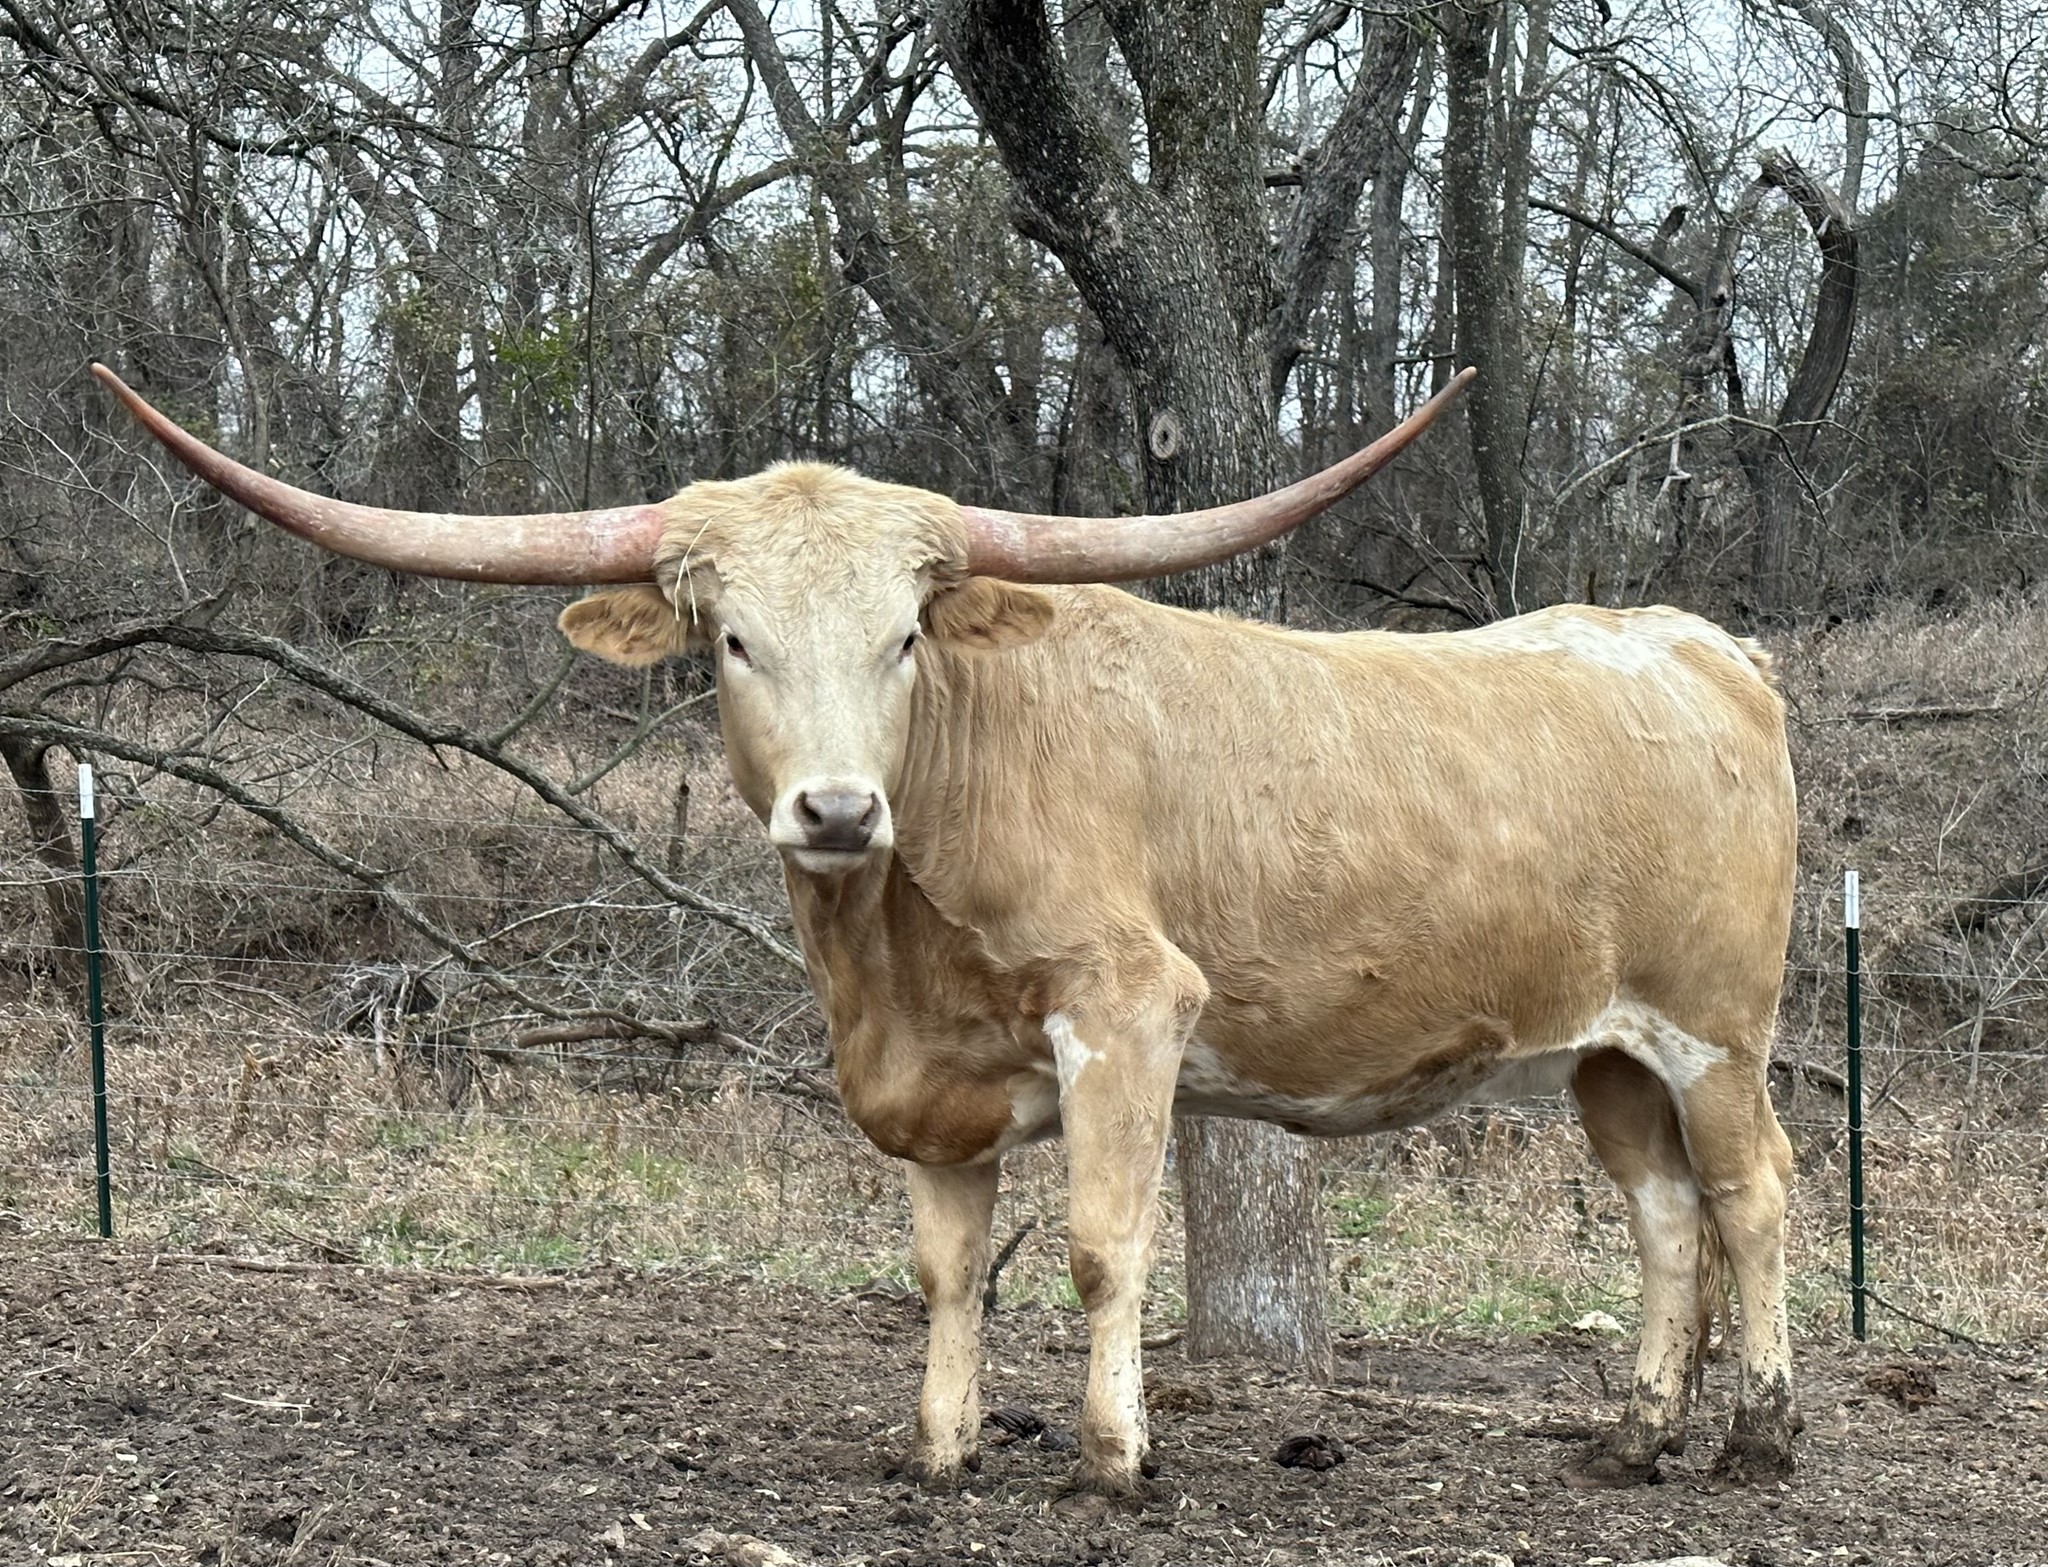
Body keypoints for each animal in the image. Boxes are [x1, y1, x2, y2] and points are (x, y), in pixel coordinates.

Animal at [93, 361, 1799, 1496]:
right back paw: (1639, 1428)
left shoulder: (1133, 1009)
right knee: (1664, 1216)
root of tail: (1696, 641)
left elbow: (1106, 1244)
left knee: (1752, 1194)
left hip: (1718, 1026)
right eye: (732, 638)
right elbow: (947, 1268)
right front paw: (942, 1443)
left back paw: (1764, 1431)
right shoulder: (932, 1088)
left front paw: (1114, 1455)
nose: (840, 808)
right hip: (1607, 1048)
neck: (889, 947)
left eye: (903, 635)